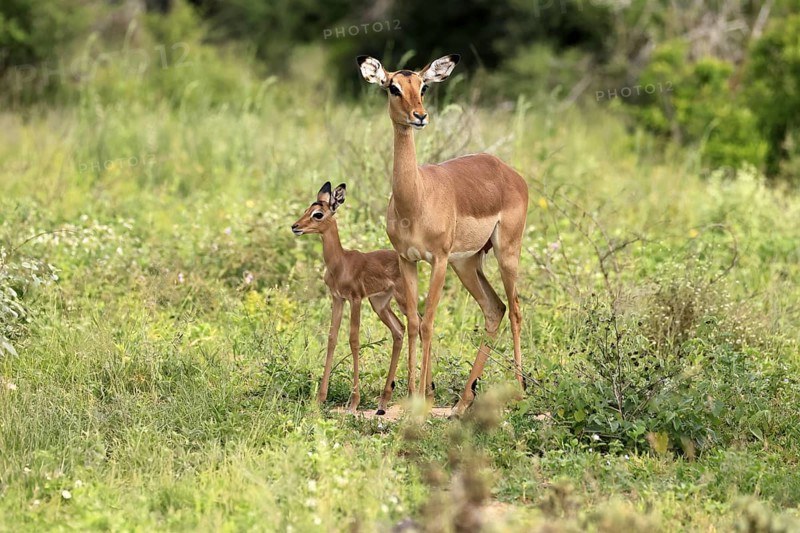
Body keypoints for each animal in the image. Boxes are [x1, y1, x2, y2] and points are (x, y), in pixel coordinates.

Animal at [292, 181, 410, 415]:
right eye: (307, 209)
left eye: (318, 214)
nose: (295, 226)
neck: (341, 263)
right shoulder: (338, 299)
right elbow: (332, 339)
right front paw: (320, 399)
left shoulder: (355, 299)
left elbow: (354, 341)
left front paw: (353, 402)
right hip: (380, 304)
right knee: (399, 330)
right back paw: (382, 403)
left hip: (401, 300)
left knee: (419, 327)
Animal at [357, 54, 529, 417]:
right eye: (393, 87)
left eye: (423, 87)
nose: (419, 116)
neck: (417, 198)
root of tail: (508, 172)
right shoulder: (407, 260)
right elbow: (413, 322)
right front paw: (412, 395)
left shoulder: (437, 259)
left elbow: (429, 322)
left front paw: (423, 398)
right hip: (467, 264)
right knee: (494, 309)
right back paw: (463, 401)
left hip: (506, 252)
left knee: (516, 309)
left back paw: (521, 392)